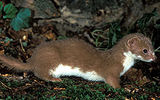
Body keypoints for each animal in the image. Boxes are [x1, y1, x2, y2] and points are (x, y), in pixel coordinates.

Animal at [0, 33, 156, 88]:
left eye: (153, 47)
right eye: (145, 50)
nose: (155, 57)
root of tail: (33, 59)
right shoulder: (111, 71)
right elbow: (112, 81)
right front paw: (121, 89)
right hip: (51, 58)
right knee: (40, 73)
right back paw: (55, 79)